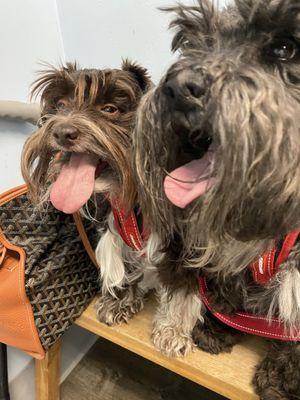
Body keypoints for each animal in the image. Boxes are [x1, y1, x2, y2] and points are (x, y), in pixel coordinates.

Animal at [21, 60, 155, 324]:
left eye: (110, 109)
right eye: (61, 104)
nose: (62, 132)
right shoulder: (113, 219)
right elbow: (117, 257)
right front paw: (119, 297)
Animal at [134, 0, 300, 400]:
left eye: (284, 48)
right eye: (192, 41)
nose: (178, 88)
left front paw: (283, 375)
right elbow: (208, 285)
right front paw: (213, 326)